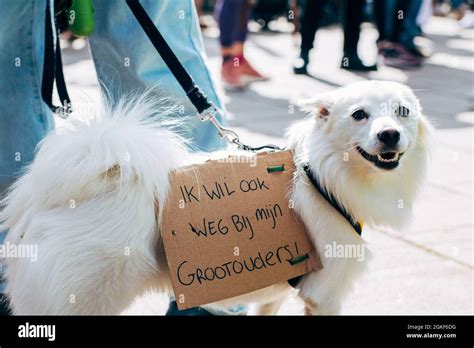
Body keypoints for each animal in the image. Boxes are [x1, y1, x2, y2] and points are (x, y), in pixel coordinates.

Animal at [0, 81, 432, 316]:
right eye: (359, 115)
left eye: (402, 112)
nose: (389, 135)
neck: (322, 174)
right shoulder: (325, 295)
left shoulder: (277, 295)